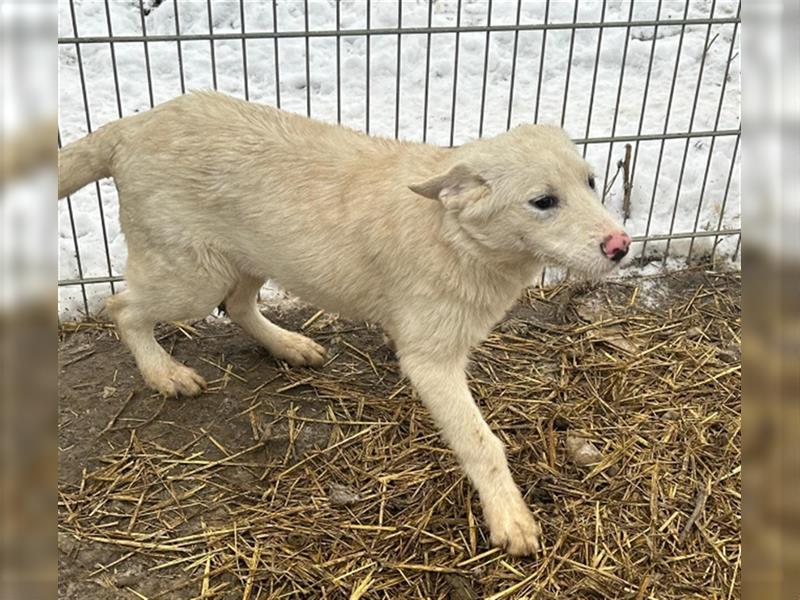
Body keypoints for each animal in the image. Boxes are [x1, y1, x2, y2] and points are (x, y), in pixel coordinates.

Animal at [56, 91, 632, 556]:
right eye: (543, 201)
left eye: (591, 182)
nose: (621, 246)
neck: (455, 235)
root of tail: (132, 124)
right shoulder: (429, 360)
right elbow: (481, 442)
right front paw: (510, 518)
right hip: (191, 276)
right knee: (121, 307)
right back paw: (165, 373)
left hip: (252, 256)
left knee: (237, 306)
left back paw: (288, 345)